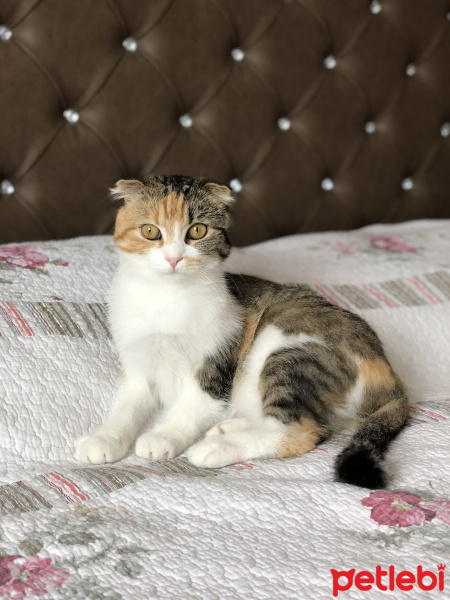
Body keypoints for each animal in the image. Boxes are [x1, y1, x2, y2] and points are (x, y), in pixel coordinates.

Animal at [75, 172, 410, 488]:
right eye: (150, 231)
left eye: (197, 231)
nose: (174, 257)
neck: (167, 299)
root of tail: (389, 372)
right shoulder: (138, 363)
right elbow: (127, 407)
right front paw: (105, 438)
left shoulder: (217, 361)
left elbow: (191, 405)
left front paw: (164, 436)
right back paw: (228, 428)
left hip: (291, 347)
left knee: (300, 429)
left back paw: (216, 447)